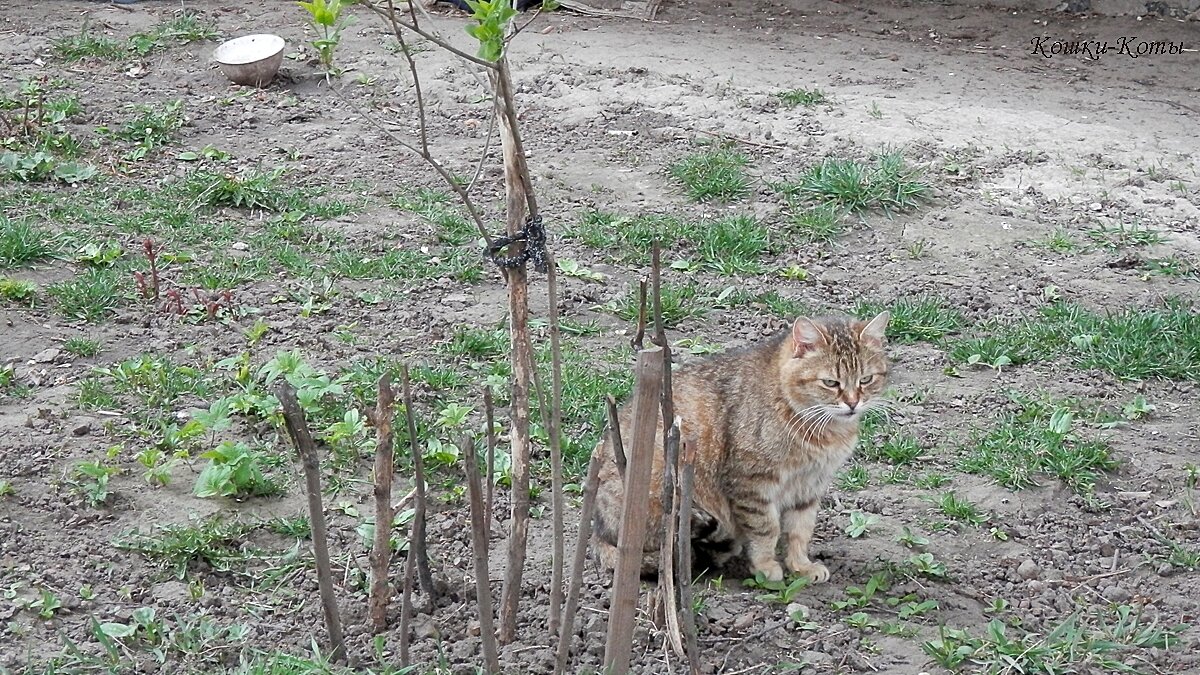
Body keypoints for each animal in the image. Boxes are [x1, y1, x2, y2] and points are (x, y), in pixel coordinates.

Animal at [592, 309, 888, 578]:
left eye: (866, 379)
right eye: (830, 382)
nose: (853, 403)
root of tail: (600, 530)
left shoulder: (809, 486)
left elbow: (800, 530)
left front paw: (800, 565)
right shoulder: (751, 482)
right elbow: (766, 528)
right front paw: (766, 566)